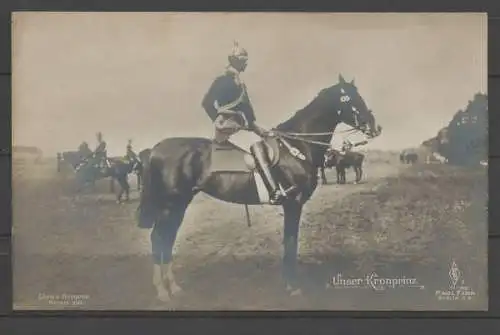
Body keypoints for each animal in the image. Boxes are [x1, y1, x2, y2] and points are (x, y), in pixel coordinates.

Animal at [135, 75, 380, 304]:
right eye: (348, 98)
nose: (375, 127)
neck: (297, 146)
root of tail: (155, 149)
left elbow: (290, 241)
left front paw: (288, 282)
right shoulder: (293, 203)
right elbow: (290, 242)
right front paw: (292, 286)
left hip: (179, 204)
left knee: (167, 238)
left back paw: (174, 287)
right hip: (170, 204)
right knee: (159, 238)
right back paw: (162, 291)